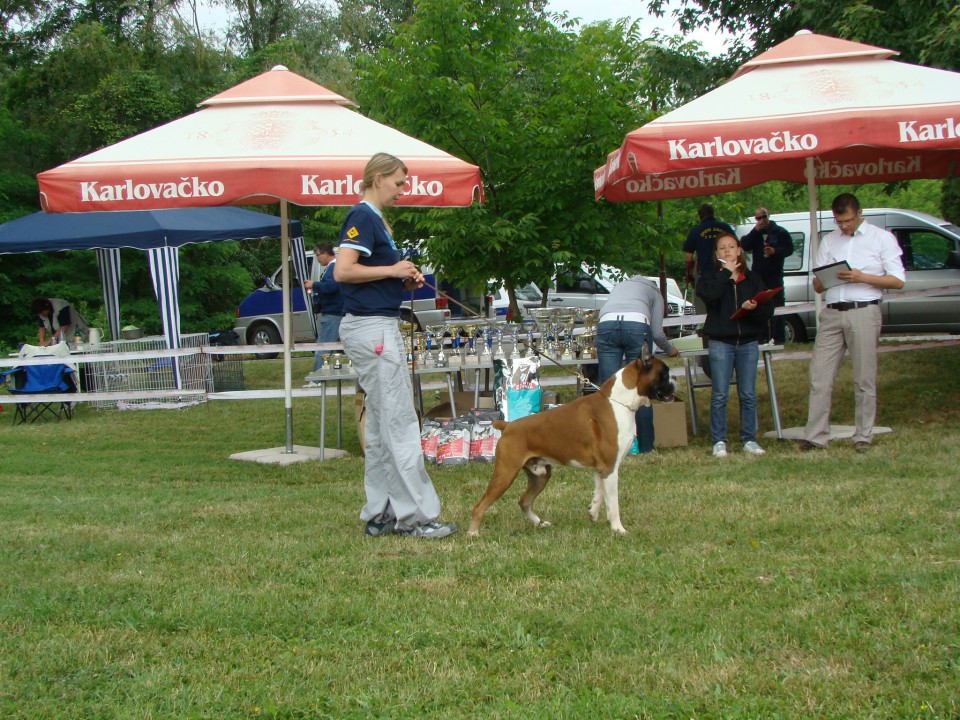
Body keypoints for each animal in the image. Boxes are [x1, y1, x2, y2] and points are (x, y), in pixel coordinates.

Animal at [466, 346, 676, 536]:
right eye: (664, 374)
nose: (675, 380)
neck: (619, 401)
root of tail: (508, 425)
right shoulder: (610, 468)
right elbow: (613, 503)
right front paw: (618, 529)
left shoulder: (602, 469)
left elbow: (599, 493)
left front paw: (593, 513)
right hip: (506, 473)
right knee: (479, 505)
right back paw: (473, 533)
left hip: (540, 474)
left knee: (524, 501)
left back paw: (539, 523)